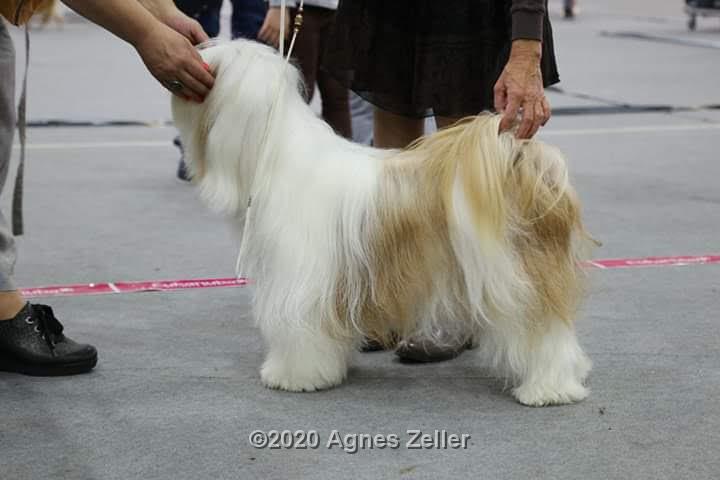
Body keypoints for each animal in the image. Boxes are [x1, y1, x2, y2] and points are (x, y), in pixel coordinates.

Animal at [172, 39, 592, 404]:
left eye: (214, 69)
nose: (190, 60)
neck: (276, 153)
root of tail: (524, 164)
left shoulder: (300, 281)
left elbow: (298, 330)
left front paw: (293, 376)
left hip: (518, 281)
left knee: (544, 336)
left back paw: (547, 390)